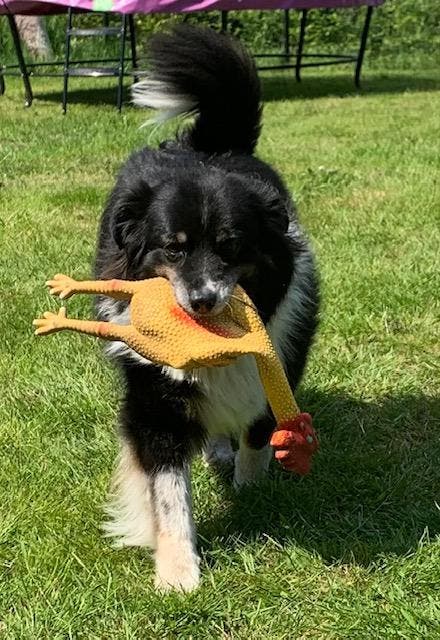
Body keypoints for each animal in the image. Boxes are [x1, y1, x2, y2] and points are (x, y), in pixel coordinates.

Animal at [94, 27, 318, 592]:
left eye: (231, 246)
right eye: (171, 249)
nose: (202, 301)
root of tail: (209, 146)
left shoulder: (278, 364)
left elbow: (260, 432)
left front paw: (251, 488)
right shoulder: (154, 400)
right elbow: (169, 492)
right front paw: (177, 573)